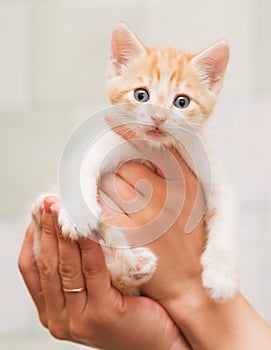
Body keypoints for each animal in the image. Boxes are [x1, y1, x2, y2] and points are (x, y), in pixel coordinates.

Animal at [33, 22, 239, 300]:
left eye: (181, 102)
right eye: (141, 95)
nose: (158, 118)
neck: (156, 148)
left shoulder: (210, 169)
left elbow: (227, 216)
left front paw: (222, 277)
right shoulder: (105, 141)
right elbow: (80, 167)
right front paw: (78, 213)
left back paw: (135, 267)